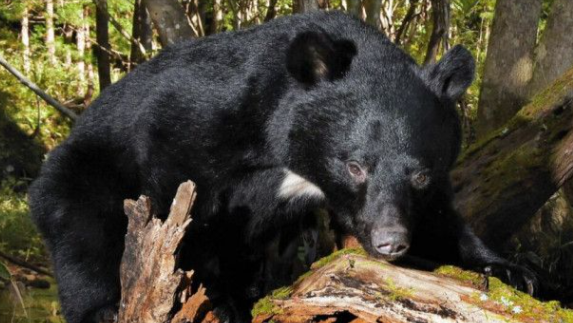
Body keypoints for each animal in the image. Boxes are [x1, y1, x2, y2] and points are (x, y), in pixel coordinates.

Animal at [27, 10, 536, 323]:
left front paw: (512, 270)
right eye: (355, 166)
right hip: (78, 176)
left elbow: (441, 218)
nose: (391, 242)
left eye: (420, 174)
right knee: (82, 236)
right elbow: (182, 199)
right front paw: (216, 297)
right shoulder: (200, 116)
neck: (290, 153)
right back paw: (105, 306)